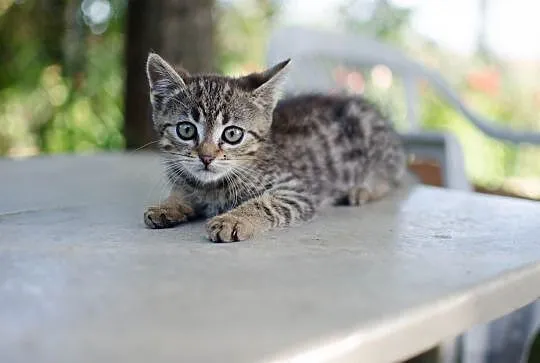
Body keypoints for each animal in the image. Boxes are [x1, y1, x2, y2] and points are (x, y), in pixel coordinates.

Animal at [142, 52, 404, 243]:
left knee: (390, 180)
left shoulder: (296, 190)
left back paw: (362, 190)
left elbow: (266, 203)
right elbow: (181, 191)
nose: (206, 157)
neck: (211, 187)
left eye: (232, 134)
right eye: (186, 130)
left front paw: (234, 220)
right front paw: (168, 205)